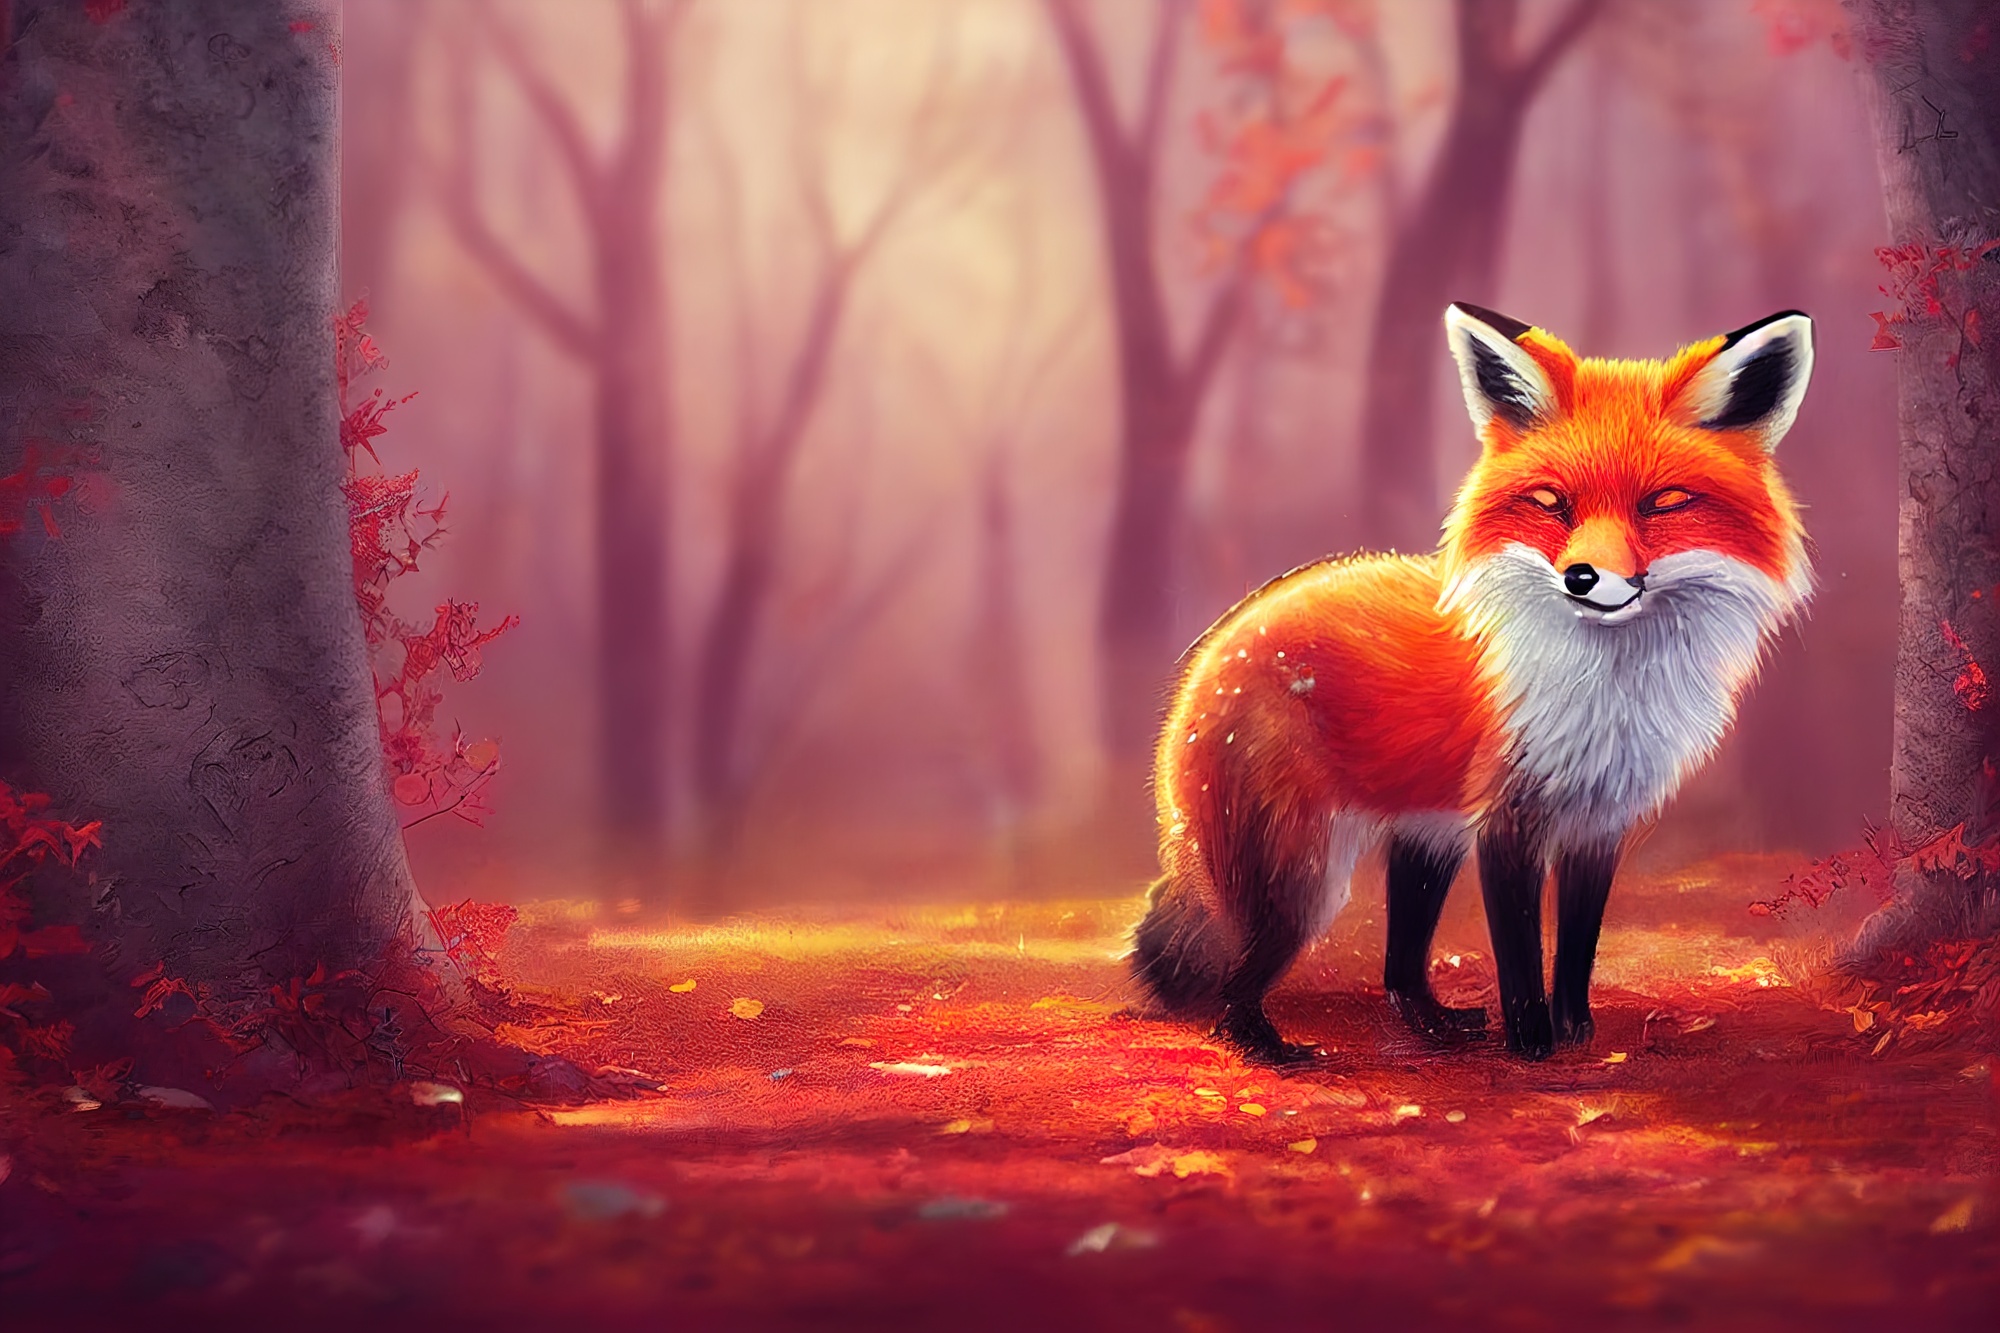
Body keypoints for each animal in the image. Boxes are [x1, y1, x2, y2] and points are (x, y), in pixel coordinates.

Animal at [1132, 303, 1815, 1064]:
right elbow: (1519, 952)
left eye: (1663, 503)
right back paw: (1263, 1043)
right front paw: (1533, 1043)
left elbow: (1577, 948)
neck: (1606, 693)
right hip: (1304, 877)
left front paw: (1577, 1031)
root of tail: (1211, 654)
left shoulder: (1598, 823)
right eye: (1551, 502)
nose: (1583, 577)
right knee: (1236, 974)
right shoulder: (1506, 823)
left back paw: (1434, 1023)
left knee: (1399, 969)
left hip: (1423, 843)